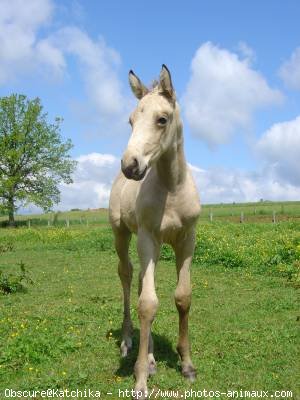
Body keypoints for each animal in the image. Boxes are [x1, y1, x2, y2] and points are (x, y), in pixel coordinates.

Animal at [109, 65, 200, 396]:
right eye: (131, 121)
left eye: (162, 119)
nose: (130, 166)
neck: (171, 189)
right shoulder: (147, 237)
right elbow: (147, 305)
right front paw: (140, 380)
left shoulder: (186, 240)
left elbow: (182, 297)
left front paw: (186, 363)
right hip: (123, 234)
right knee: (127, 276)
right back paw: (129, 344)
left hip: (158, 246)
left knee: (139, 283)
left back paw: (149, 357)